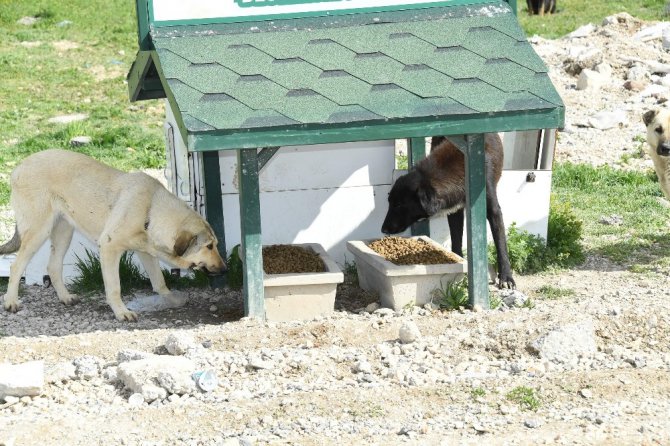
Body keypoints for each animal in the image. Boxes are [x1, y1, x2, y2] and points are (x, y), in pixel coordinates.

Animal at [0, 150, 228, 320]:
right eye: (209, 246)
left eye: (215, 245)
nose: (225, 270)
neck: (150, 210)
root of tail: (18, 168)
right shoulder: (109, 249)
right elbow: (114, 287)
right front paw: (122, 312)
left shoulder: (147, 252)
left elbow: (159, 281)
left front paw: (171, 299)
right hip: (39, 232)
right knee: (16, 266)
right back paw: (11, 302)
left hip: (64, 232)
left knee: (53, 266)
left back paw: (65, 297)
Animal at [384, 135, 516, 290]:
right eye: (389, 202)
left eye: (399, 205)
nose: (383, 229)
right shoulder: (455, 211)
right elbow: (456, 239)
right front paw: (459, 262)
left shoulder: (493, 210)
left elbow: (501, 244)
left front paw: (506, 277)